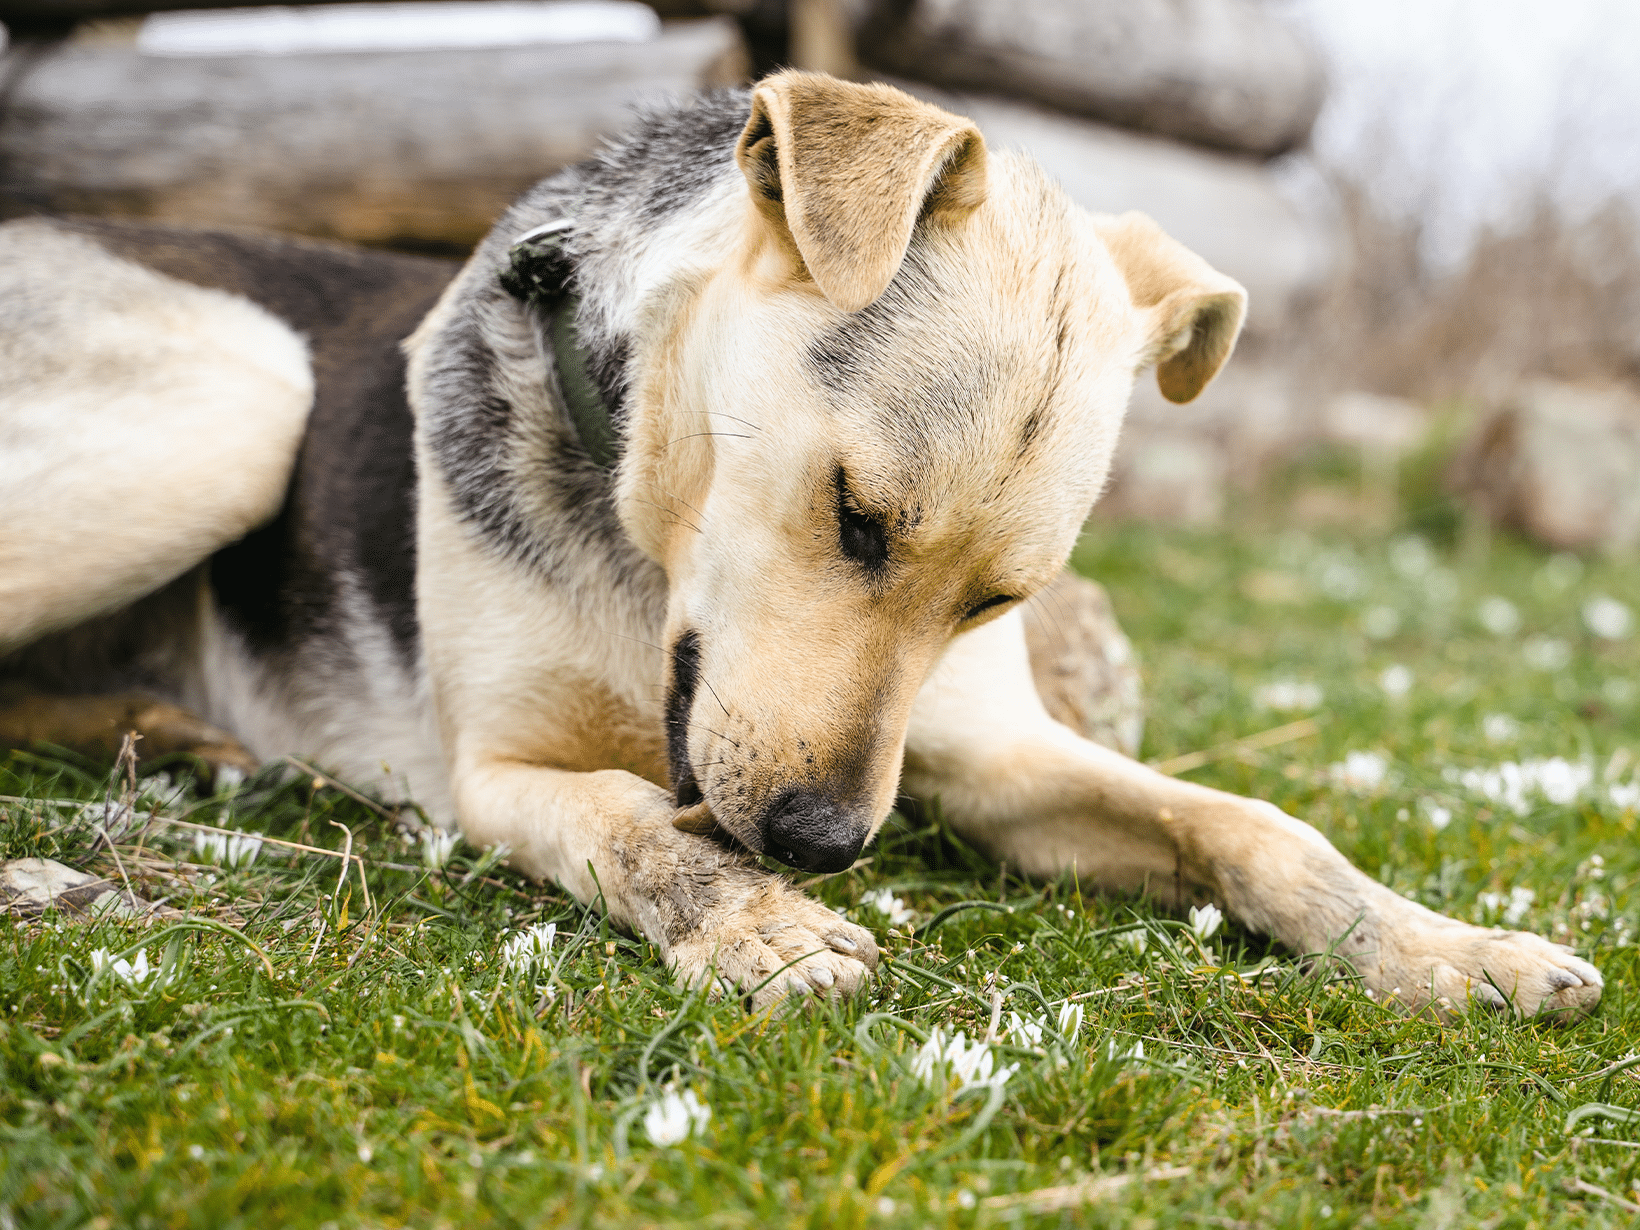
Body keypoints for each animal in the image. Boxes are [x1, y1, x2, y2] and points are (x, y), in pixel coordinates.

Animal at [0, 74, 1600, 1023]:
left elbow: (1253, 826)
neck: (646, 555)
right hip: (240, 393)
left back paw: (163, 727)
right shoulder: (488, 772)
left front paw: (1449, 947)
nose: (825, 848)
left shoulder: (993, 757)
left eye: (997, 599)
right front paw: (757, 926)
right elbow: (629, 819)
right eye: (855, 516)